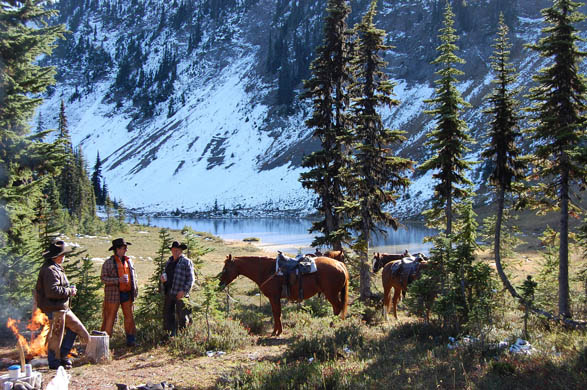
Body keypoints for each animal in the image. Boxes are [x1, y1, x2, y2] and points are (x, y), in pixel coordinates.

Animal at [219, 256, 350, 336]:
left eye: (225, 269)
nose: (220, 284)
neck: (266, 270)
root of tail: (339, 264)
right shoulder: (273, 298)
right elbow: (276, 313)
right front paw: (276, 331)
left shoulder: (274, 297)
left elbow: (277, 313)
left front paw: (277, 332)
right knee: (337, 308)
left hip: (331, 293)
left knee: (337, 308)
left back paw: (332, 325)